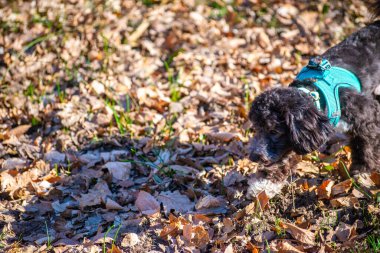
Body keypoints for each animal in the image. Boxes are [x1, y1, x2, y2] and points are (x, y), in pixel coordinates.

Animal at [248, 0, 380, 197]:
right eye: (257, 128)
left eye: (274, 131)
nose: (254, 156)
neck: (315, 95)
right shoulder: (297, 138)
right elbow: (284, 158)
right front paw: (263, 185)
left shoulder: (366, 116)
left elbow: (365, 146)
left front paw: (362, 171)